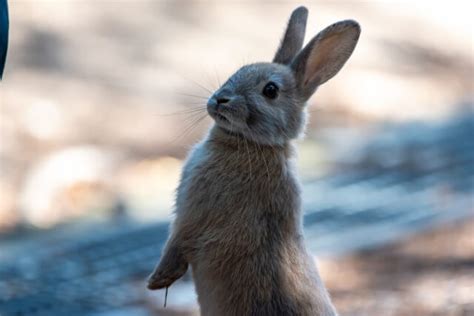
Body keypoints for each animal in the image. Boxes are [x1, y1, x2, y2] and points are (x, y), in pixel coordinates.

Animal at [148, 5, 360, 316]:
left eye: (270, 91)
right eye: (238, 71)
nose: (219, 99)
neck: (256, 144)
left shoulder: (191, 214)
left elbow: (176, 244)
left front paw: (157, 280)